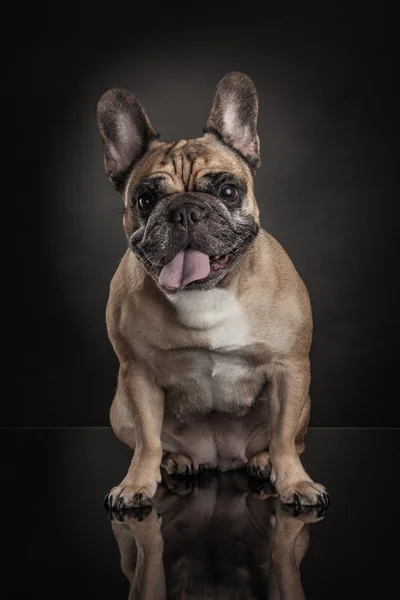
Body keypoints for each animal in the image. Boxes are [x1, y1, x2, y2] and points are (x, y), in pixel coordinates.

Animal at [96, 70, 328, 510]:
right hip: (118, 407)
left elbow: (284, 438)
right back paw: (174, 462)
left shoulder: (290, 368)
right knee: (152, 443)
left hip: (305, 403)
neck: (208, 292)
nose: (186, 210)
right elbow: (147, 441)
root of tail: (219, 458)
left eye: (228, 192)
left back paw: (261, 461)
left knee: (288, 440)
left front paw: (295, 483)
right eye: (145, 199)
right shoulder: (137, 374)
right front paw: (136, 485)